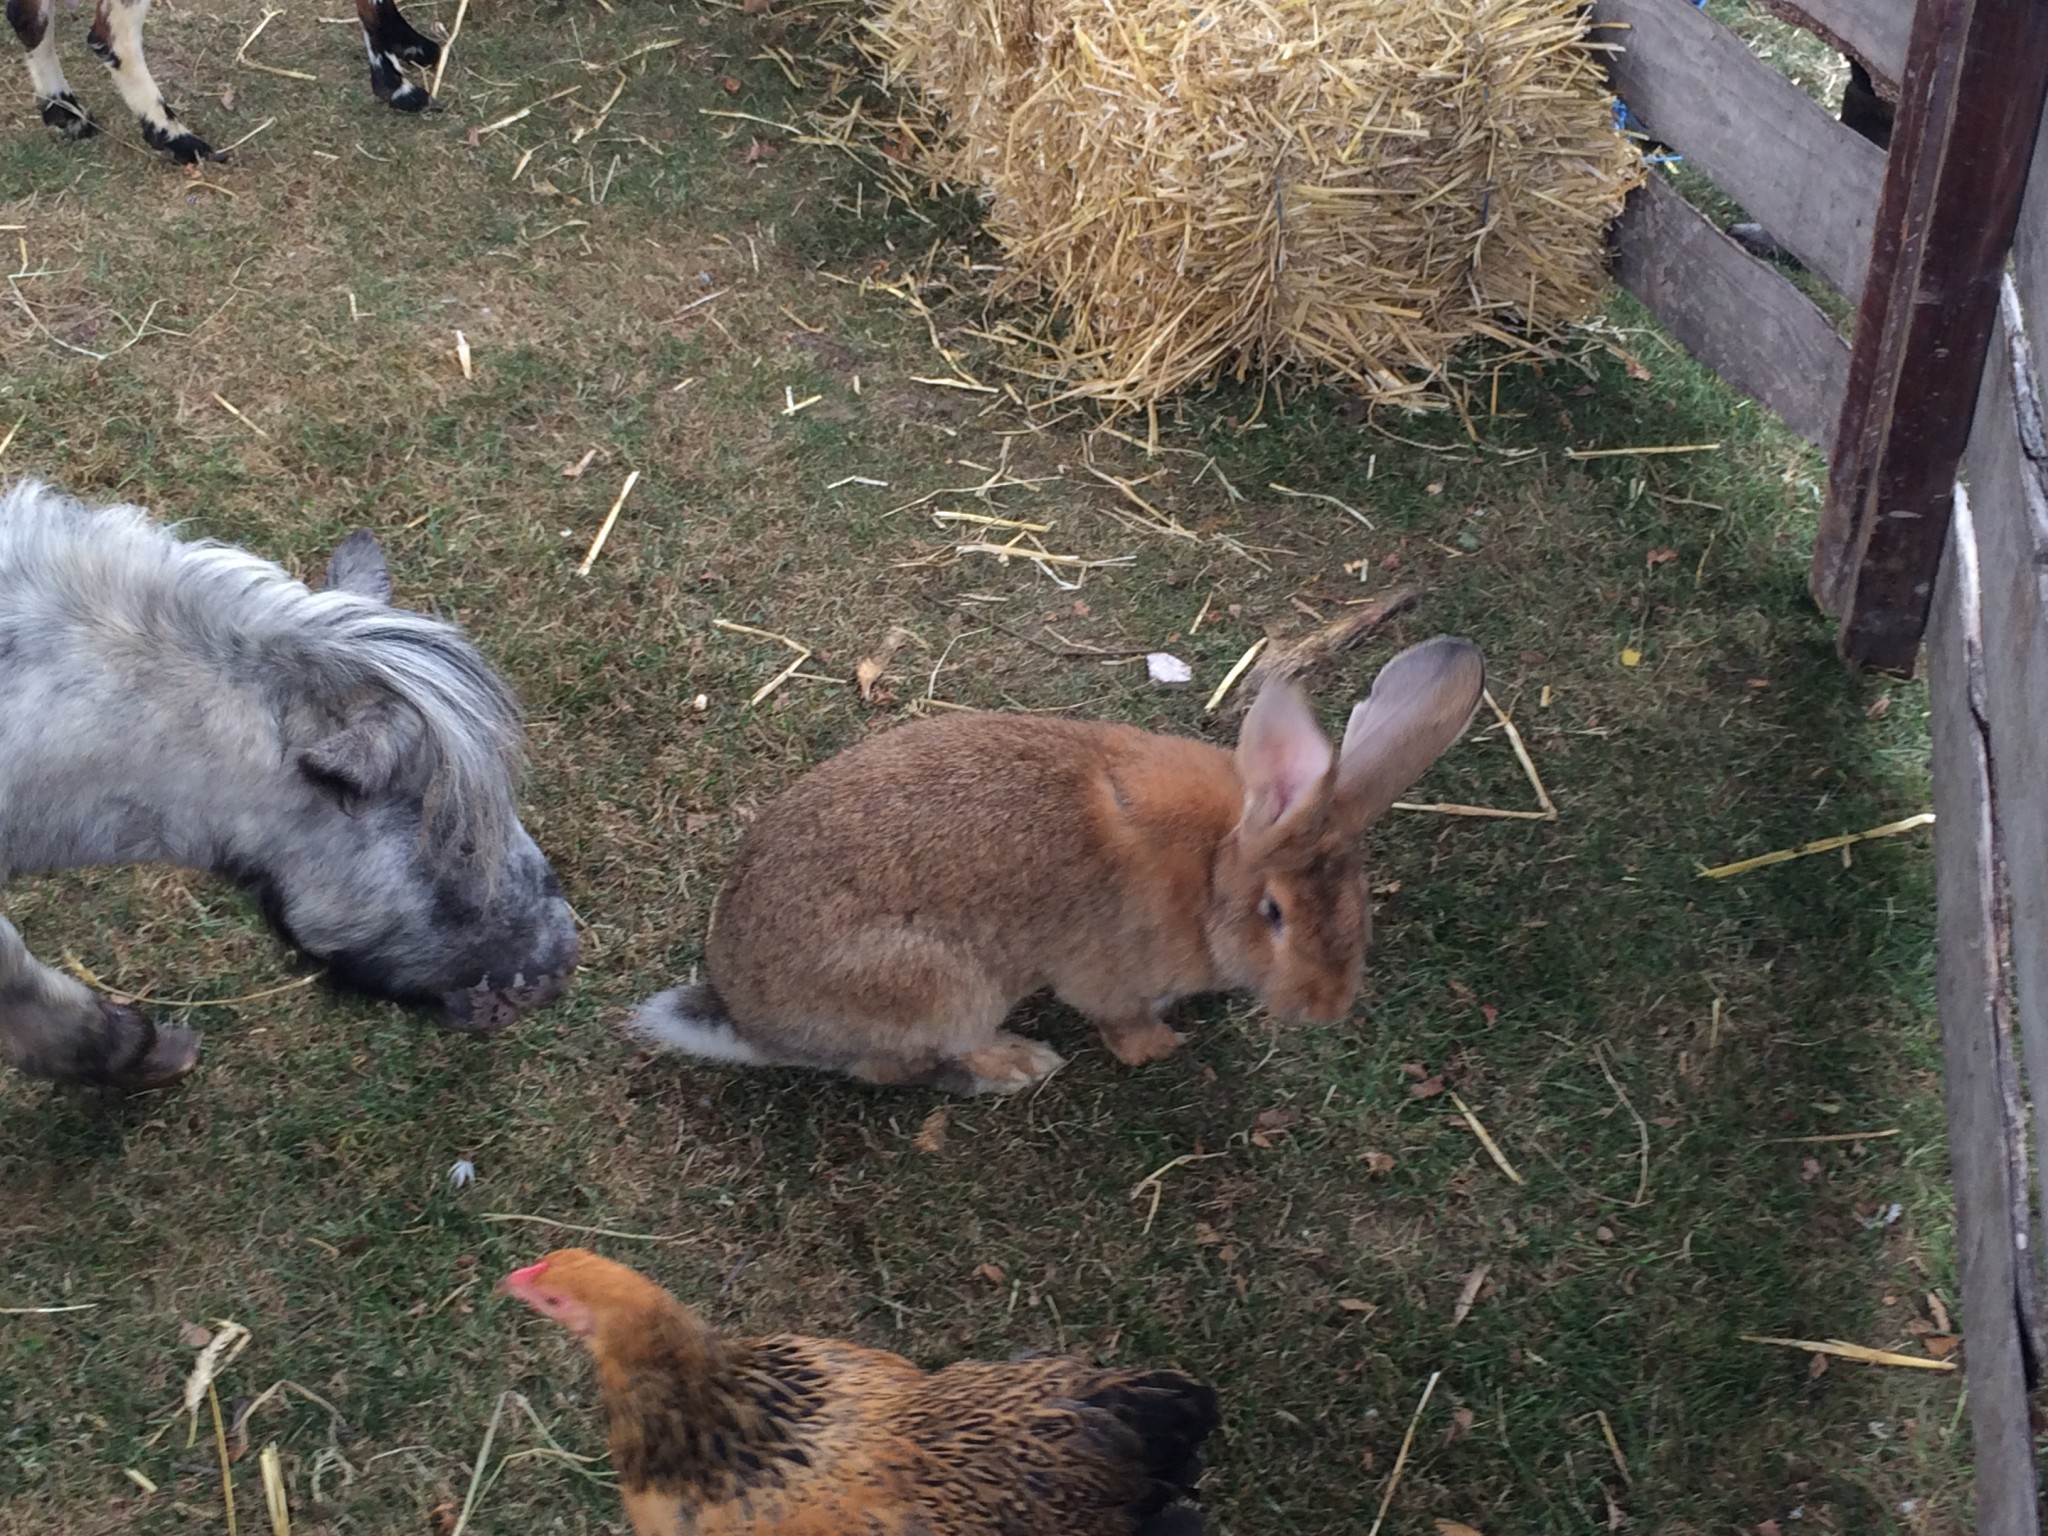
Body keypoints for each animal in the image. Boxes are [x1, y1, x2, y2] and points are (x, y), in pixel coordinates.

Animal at [629, 635, 1485, 1095]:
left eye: (1360, 908)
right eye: (1274, 914)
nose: (1327, 1008)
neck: (1213, 867)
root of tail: (749, 1022)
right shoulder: (1111, 976)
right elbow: (1121, 1020)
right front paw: (1160, 1047)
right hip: (936, 987)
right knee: (895, 1067)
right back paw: (1015, 1064)